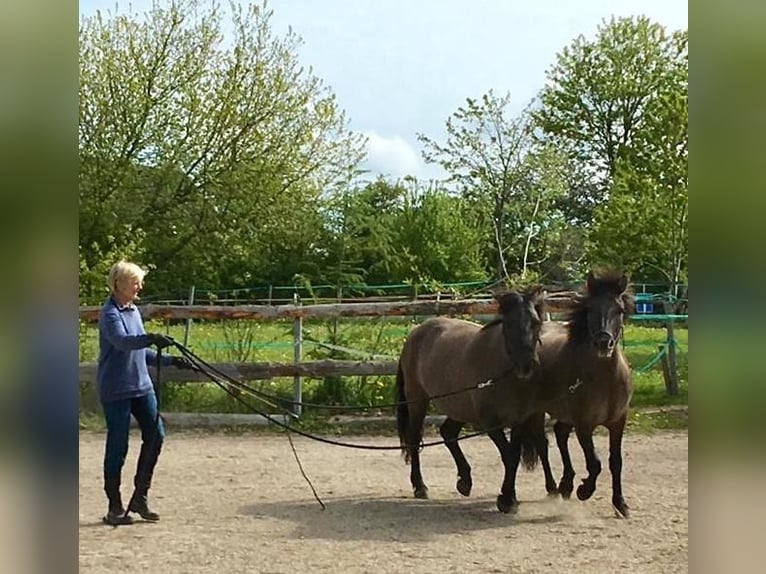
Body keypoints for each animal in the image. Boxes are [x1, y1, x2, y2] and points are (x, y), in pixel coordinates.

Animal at [400, 290, 548, 516]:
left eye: (536, 322)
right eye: (508, 324)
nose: (526, 365)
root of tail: (417, 331)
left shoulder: (518, 420)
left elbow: (513, 455)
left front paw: (509, 498)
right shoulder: (490, 422)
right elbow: (509, 456)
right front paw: (507, 500)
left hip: (459, 407)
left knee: (448, 433)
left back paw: (465, 481)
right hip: (418, 400)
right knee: (415, 439)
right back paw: (420, 486)